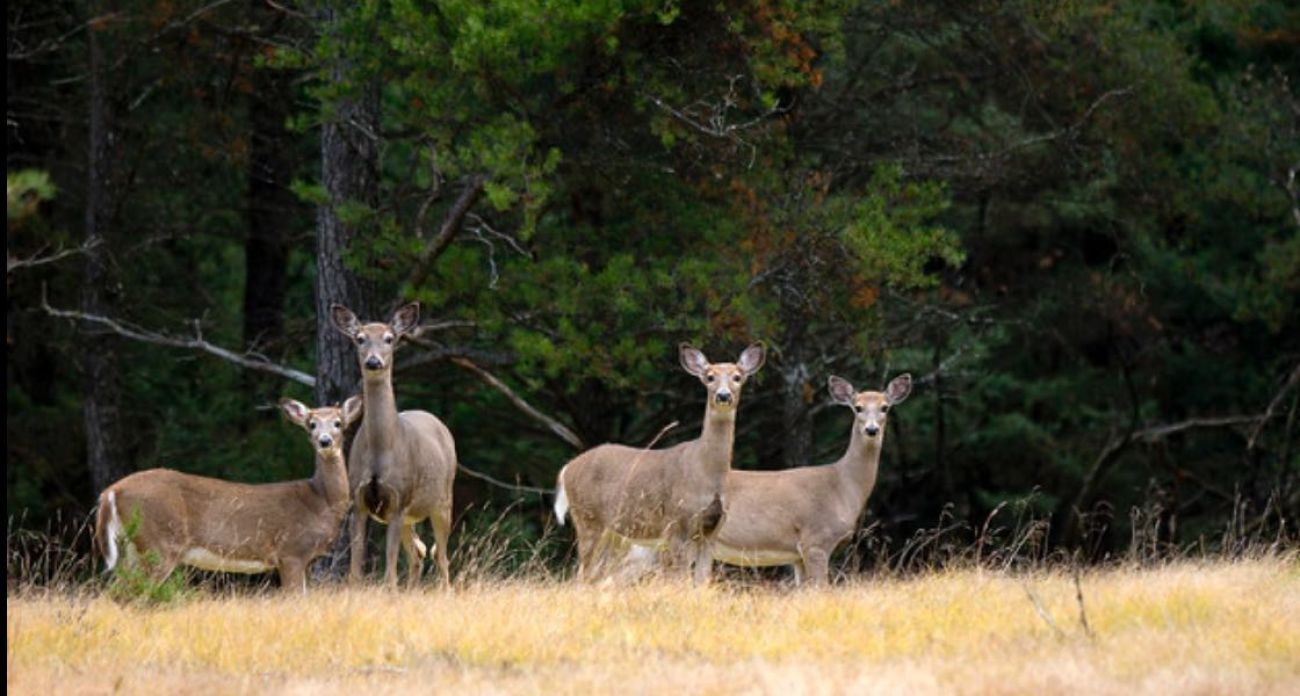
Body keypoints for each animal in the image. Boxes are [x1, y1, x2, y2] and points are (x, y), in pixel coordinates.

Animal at [94, 398, 364, 593]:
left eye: (338, 423)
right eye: (311, 424)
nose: (325, 441)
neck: (320, 502)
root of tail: (110, 491)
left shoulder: (303, 560)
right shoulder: (291, 552)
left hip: (131, 547)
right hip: (159, 543)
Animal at [330, 301, 457, 590]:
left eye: (389, 338)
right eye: (360, 338)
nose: (373, 361)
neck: (381, 451)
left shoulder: (398, 499)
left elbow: (389, 570)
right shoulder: (359, 501)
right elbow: (355, 570)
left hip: (443, 500)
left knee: (441, 557)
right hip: (411, 516)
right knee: (418, 555)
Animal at [553, 343, 764, 582]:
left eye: (737, 377)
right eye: (709, 377)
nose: (723, 395)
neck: (707, 473)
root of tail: (567, 468)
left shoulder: (713, 530)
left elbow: (701, 581)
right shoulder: (677, 522)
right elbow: (679, 578)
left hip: (612, 532)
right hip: (587, 517)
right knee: (582, 575)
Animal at [707, 372, 909, 585]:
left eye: (885, 407)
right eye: (858, 407)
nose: (871, 430)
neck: (842, 486)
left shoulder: (797, 556)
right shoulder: (816, 540)